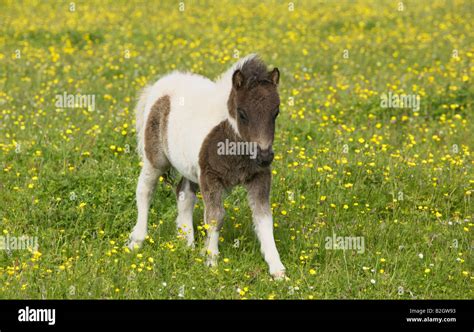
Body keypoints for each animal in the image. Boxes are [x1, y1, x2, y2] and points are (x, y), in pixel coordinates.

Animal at [129, 53, 286, 278]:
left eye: (276, 112)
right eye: (242, 113)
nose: (264, 157)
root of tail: (160, 83)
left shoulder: (259, 176)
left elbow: (264, 218)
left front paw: (277, 268)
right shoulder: (210, 176)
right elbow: (215, 217)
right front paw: (211, 260)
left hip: (190, 166)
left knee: (184, 195)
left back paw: (187, 243)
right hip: (155, 159)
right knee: (145, 190)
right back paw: (137, 240)